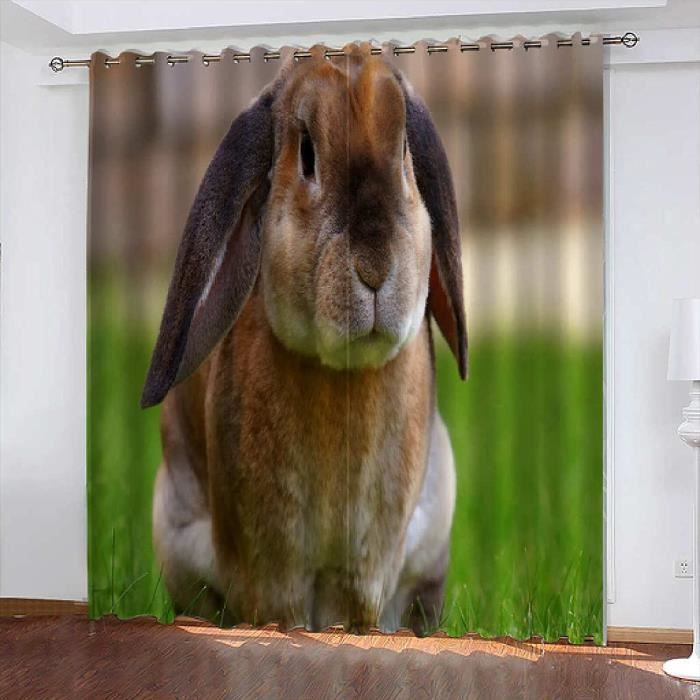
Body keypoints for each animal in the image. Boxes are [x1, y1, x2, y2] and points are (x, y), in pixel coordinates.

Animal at [142, 43, 467, 635]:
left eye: (404, 152)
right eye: (307, 153)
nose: (373, 266)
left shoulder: (364, 569)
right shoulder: (270, 567)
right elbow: (280, 617)